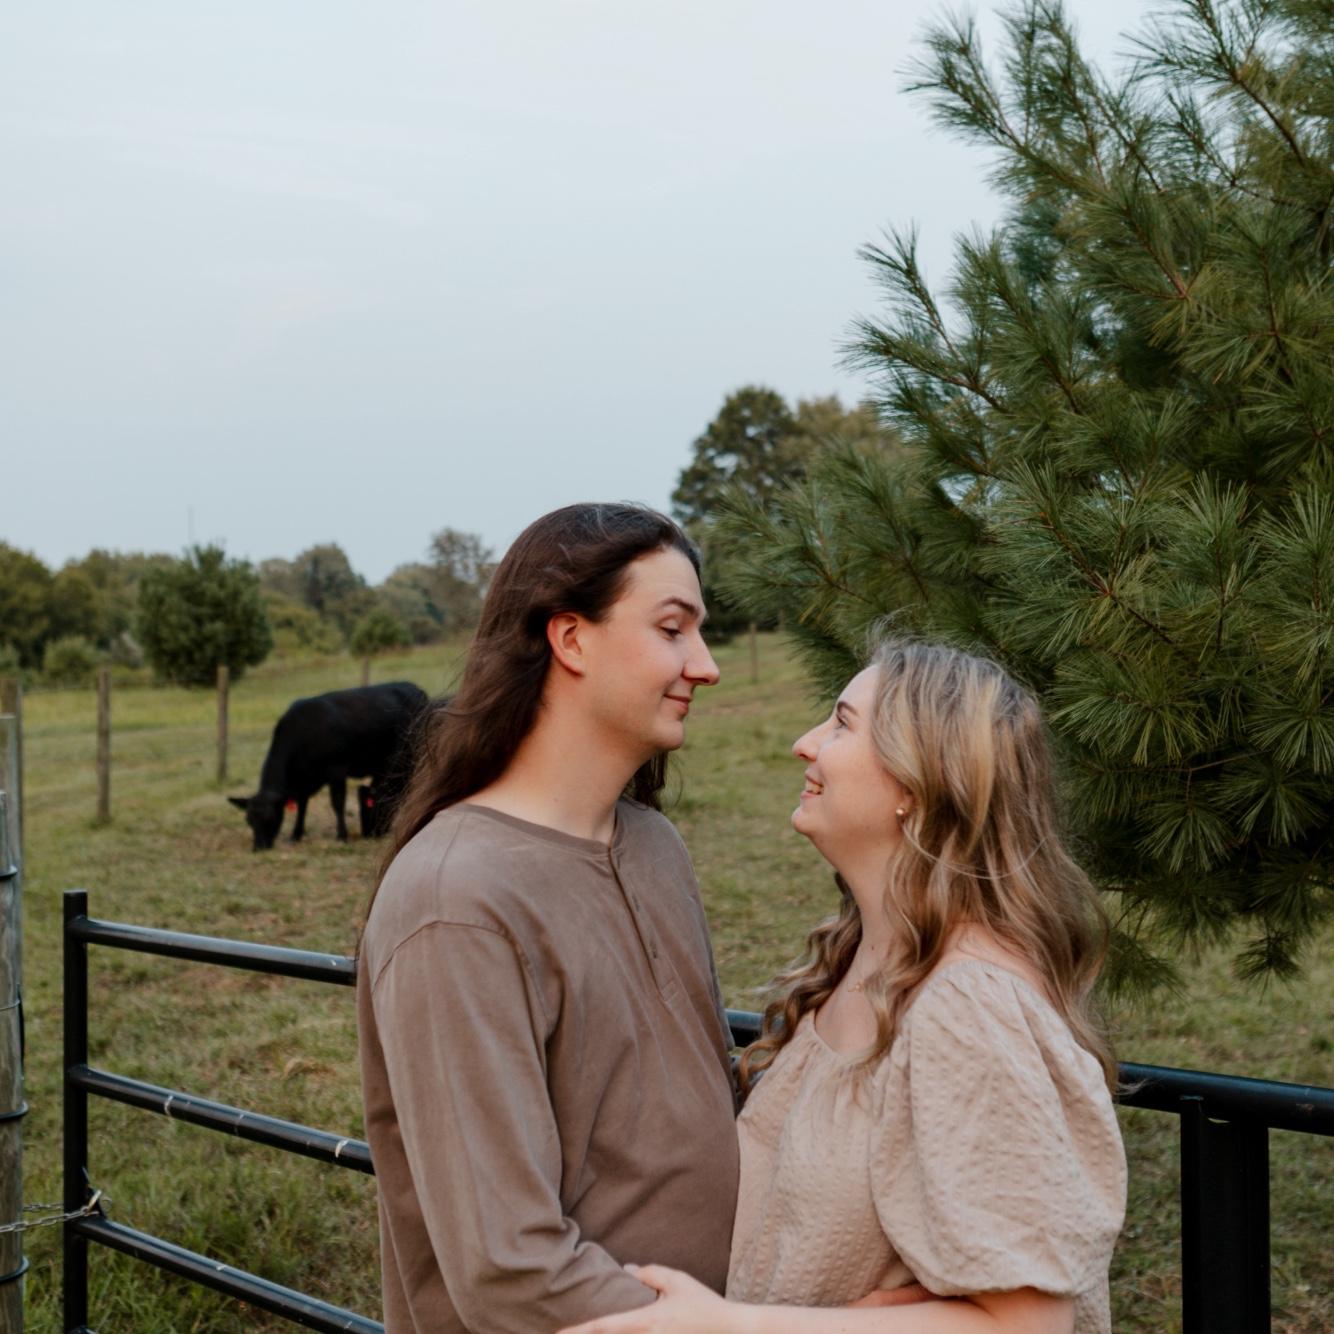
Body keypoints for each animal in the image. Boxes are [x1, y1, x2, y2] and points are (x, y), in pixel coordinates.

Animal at [228, 681, 429, 851]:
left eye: (270, 818)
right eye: (249, 820)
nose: (258, 848)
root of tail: (415, 688)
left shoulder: (337, 769)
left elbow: (337, 802)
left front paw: (341, 835)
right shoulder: (304, 780)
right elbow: (302, 806)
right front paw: (295, 835)